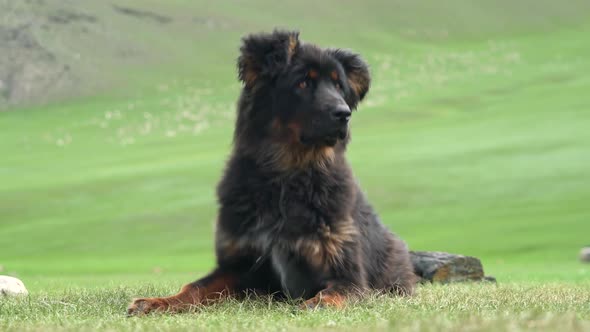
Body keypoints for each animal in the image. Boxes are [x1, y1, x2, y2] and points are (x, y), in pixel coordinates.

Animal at [128, 29, 418, 316]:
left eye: (339, 86)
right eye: (303, 83)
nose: (343, 113)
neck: (287, 178)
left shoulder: (348, 274)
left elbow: (334, 293)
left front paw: (317, 303)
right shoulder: (239, 266)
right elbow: (194, 288)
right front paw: (157, 302)